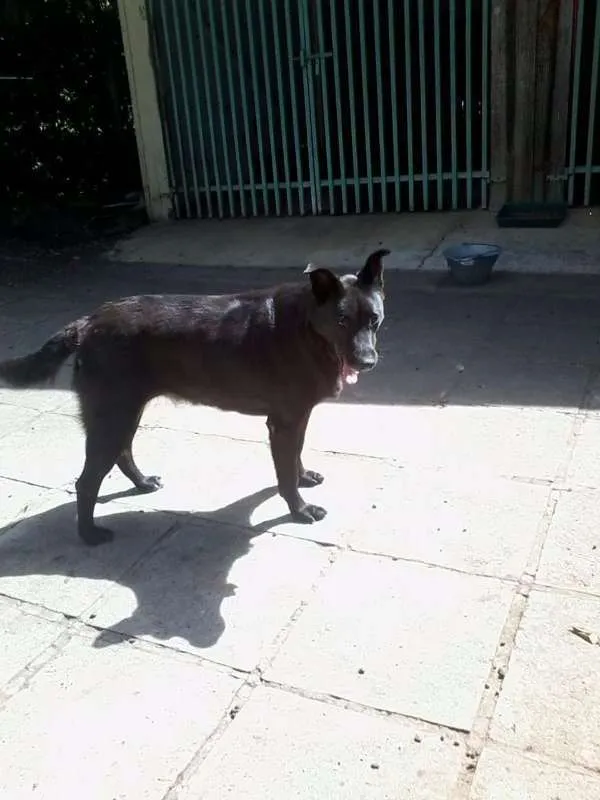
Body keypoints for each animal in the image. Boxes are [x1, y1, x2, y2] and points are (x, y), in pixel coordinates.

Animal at [0, 253, 390, 548]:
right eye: (341, 320)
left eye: (374, 319)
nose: (367, 362)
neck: (308, 328)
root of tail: (87, 323)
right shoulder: (283, 423)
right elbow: (284, 473)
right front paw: (299, 509)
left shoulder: (297, 417)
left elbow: (294, 458)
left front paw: (303, 476)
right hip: (113, 415)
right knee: (86, 482)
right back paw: (89, 534)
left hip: (125, 412)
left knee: (122, 454)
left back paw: (141, 484)